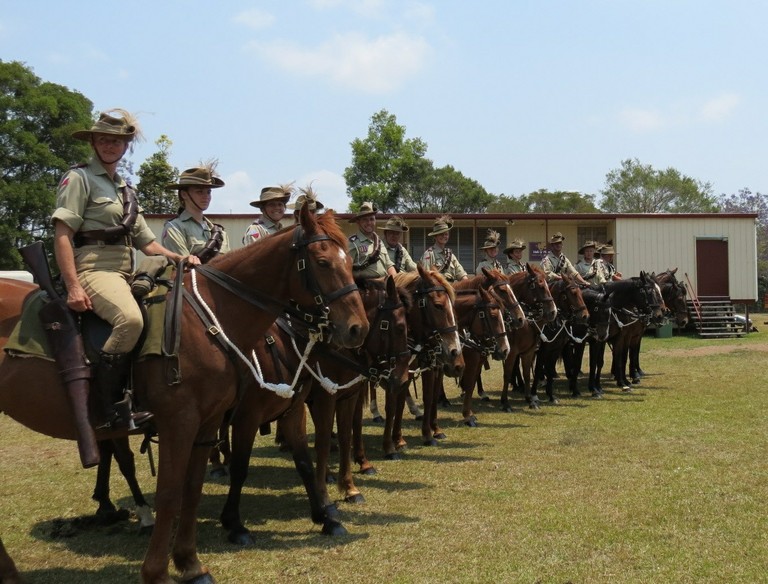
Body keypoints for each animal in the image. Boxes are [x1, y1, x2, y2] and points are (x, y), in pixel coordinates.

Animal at [0, 205, 368, 584]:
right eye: (323, 262)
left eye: (349, 260)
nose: (358, 328)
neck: (212, 319)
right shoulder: (200, 421)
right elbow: (180, 488)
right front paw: (215, 537)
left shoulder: (246, 417)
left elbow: (207, 485)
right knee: (123, 459)